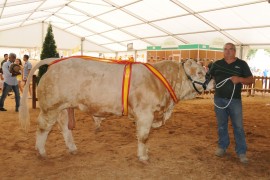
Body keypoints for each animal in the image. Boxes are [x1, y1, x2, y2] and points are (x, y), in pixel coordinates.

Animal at [19, 57, 213, 162]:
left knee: (64, 127)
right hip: (51, 107)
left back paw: (72, 148)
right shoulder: (145, 113)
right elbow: (144, 136)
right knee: (43, 128)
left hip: (63, 107)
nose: (213, 81)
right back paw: (41, 151)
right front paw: (143, 157)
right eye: (199, 73)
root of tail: (55, 61)